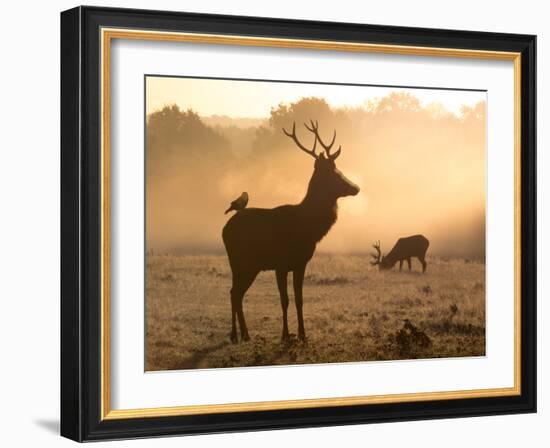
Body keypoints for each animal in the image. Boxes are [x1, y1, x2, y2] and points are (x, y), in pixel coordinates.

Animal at [223, 119, 362, 344]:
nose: (356, 187)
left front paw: (303, 335)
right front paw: (285, 336)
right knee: (234, 292)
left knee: (237, 292)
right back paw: (236, 335)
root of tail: (224, 229)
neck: (307, 228)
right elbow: (284, 300)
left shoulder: (300, 263)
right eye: (334, 173)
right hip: (239, 261)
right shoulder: (280, 264)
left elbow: (299, 299)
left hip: (250, 266)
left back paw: (245, 334)